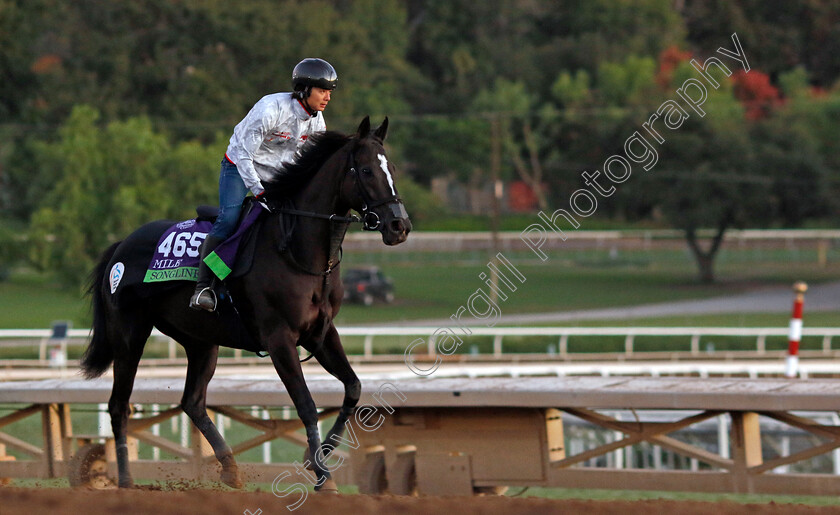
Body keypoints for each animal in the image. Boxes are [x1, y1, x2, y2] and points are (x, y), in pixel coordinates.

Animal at [81, 117, 414, 492]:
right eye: (367, 170)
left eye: (393, 168)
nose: (399, 226)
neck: (298, 251)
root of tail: (121, 245)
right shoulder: (279, 337)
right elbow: (306, 404)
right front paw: (322, 473)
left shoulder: (321, 334)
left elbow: (353, 389)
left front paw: (317, 460)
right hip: (129, 335)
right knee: (118, 405)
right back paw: (125, 480)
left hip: (200, 341)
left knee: (192, 402)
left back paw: (230, 468)